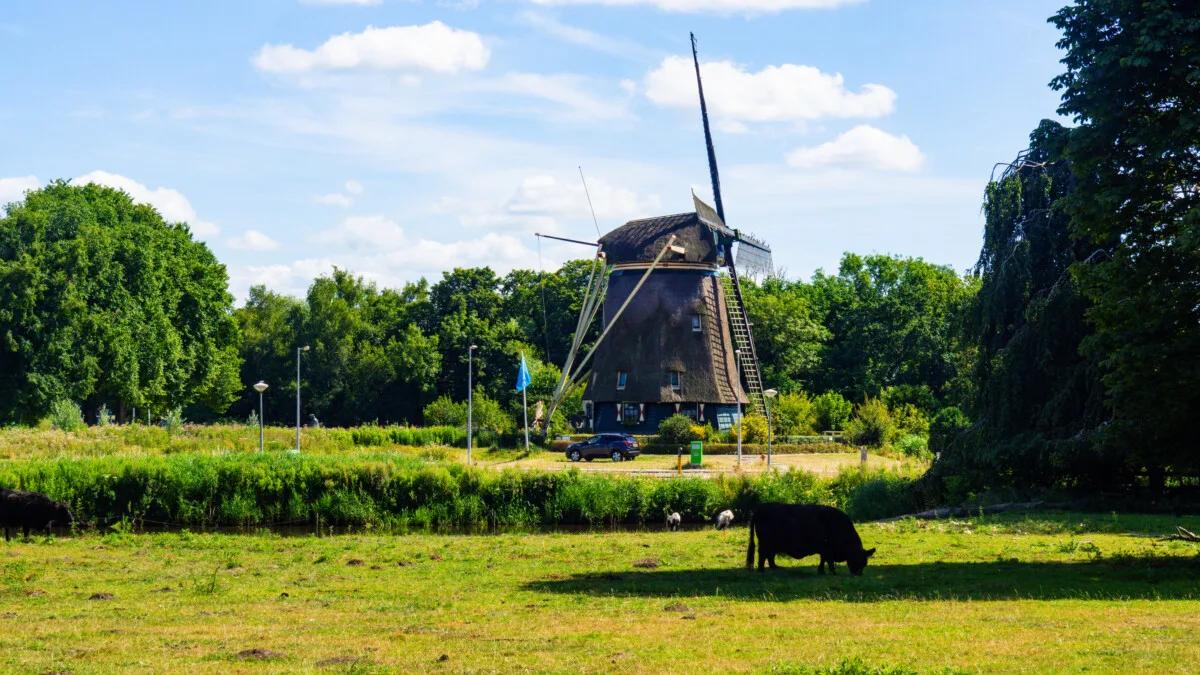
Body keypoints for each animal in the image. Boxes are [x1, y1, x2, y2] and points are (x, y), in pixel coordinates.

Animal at [744, 502, 878, 576]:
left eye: (865, 563)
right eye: (858, 560)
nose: (858, 575)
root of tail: (760, 508)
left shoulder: (825, 550)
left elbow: (823, 560)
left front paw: (821, 571)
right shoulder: (827, 549)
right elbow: (828, 561)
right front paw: (832, 572)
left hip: (772, 544)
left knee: (770, 556)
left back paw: (775, 568)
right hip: (765, 543)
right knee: (763, 555)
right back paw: (761, 570)